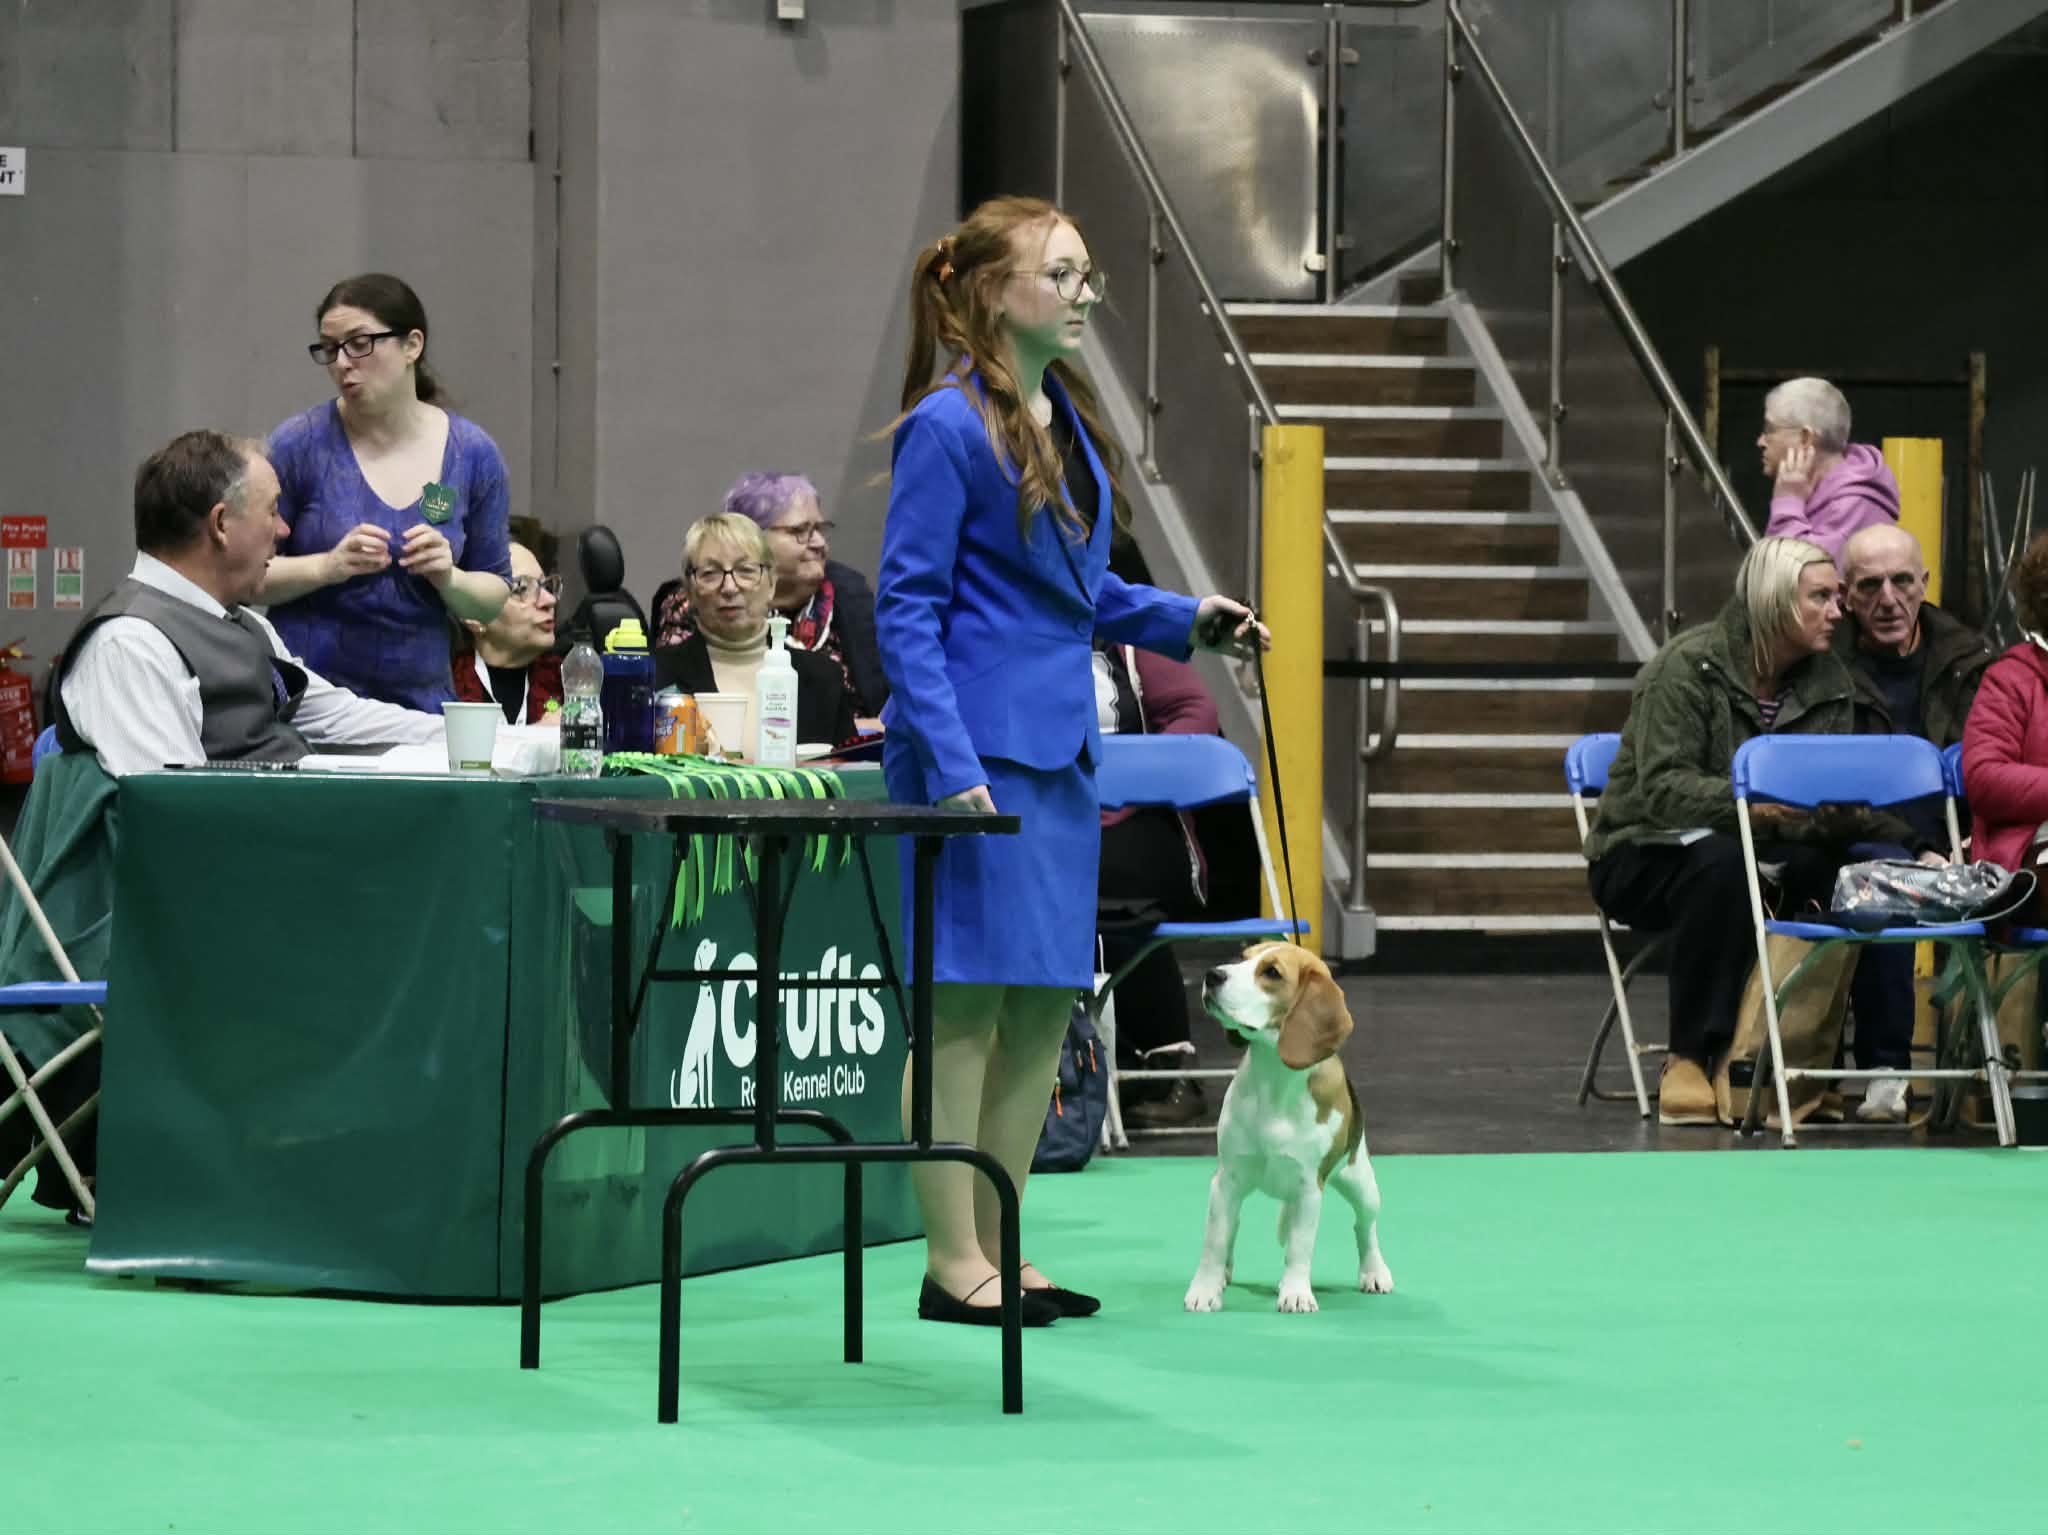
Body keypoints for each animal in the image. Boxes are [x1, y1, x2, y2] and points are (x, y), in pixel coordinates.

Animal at [1184, 943, 1393, 1314]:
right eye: (1243, 957)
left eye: (1272, 973)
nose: (1212, 975)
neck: (1274, 1077)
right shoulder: (1227, 1180)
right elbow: (1215, 1240)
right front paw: (1205, 1290)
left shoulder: (1309, 1188)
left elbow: (1300, 1247)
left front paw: (1296, 1293)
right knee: (1233, 1226)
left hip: (1362, 1183)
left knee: (1364, 1227)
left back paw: (1375, 1272)